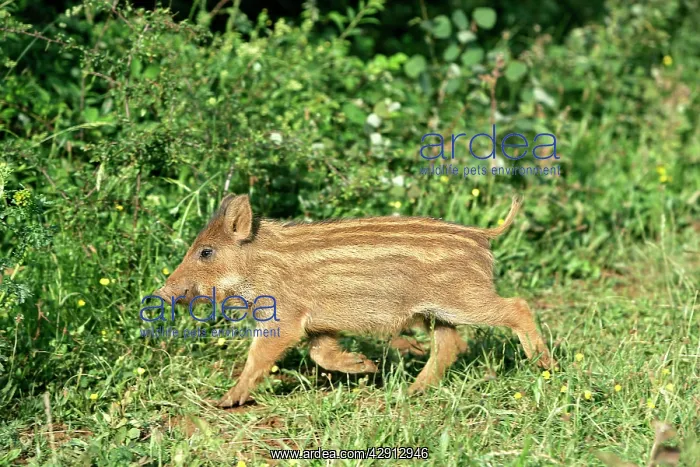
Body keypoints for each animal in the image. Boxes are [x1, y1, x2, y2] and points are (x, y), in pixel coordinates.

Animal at [153, 194, 554, 407]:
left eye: (206, 251)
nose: (161, 293)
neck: (259, 265)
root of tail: (484, 234)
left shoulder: (284, 318)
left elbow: (258, 358)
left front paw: (224, 402)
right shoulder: (320, 325)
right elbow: (321, 353)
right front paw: (367, 366)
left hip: (465, 299)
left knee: (517, 307)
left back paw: (544, 365)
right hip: (435, 312)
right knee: (450, 344)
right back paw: (410, 391)